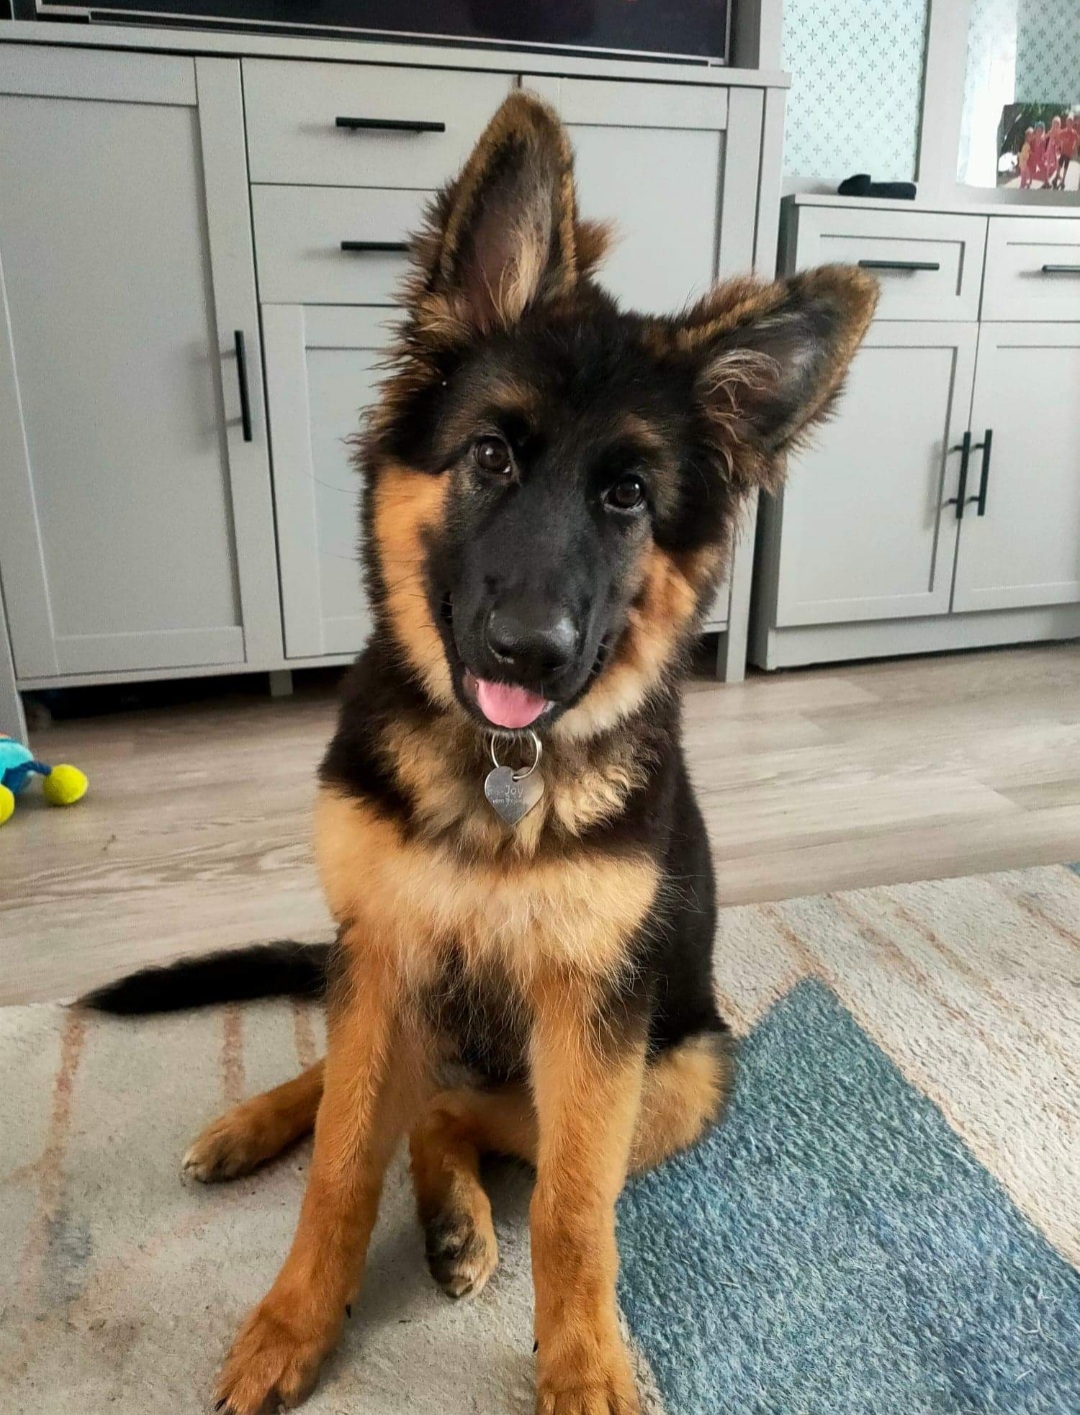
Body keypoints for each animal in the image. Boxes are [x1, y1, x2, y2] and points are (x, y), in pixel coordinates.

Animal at [85, 92, 876, 1415]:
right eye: (492, 456)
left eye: (627, 495)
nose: (531, 651)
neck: (500, 770)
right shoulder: (386, 948)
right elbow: (341, 1164)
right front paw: (294, 1320)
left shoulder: (593, 1017)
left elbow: (570, 1207)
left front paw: (586, 1359)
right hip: (384, 981)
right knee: (367, 1082)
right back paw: (256, 1124)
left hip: (685, 1067)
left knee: (456, 1110)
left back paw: (455, 1211)